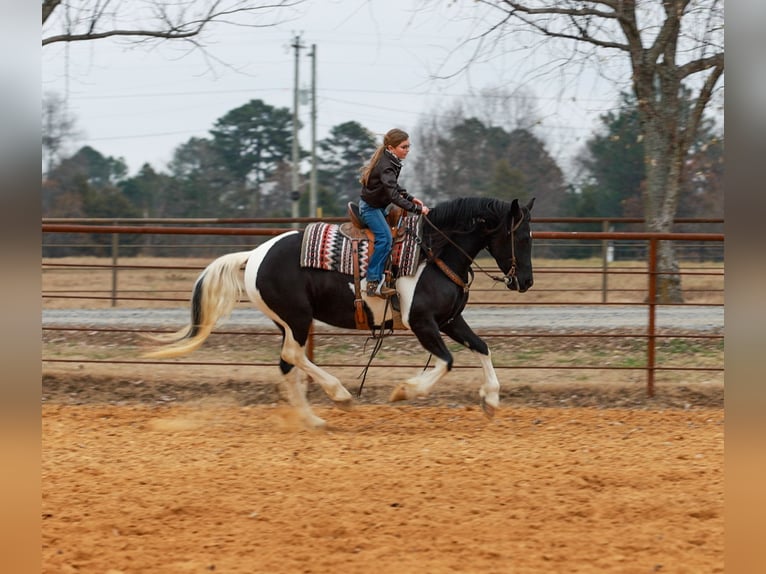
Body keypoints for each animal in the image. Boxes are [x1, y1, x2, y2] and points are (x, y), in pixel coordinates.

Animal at [144, 196, 535, 428]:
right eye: (521, 237)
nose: (526, 281)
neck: (433, 253)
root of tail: (255, 254)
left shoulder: (450, 320)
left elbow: (482, 347)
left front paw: (492, 400)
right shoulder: (422, 323)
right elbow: (447, 362)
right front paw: (404, 391)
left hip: (287, 321)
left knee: (287, 363)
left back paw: (314, 420)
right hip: (297, 319)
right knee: (293, 357)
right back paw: (340, 397)